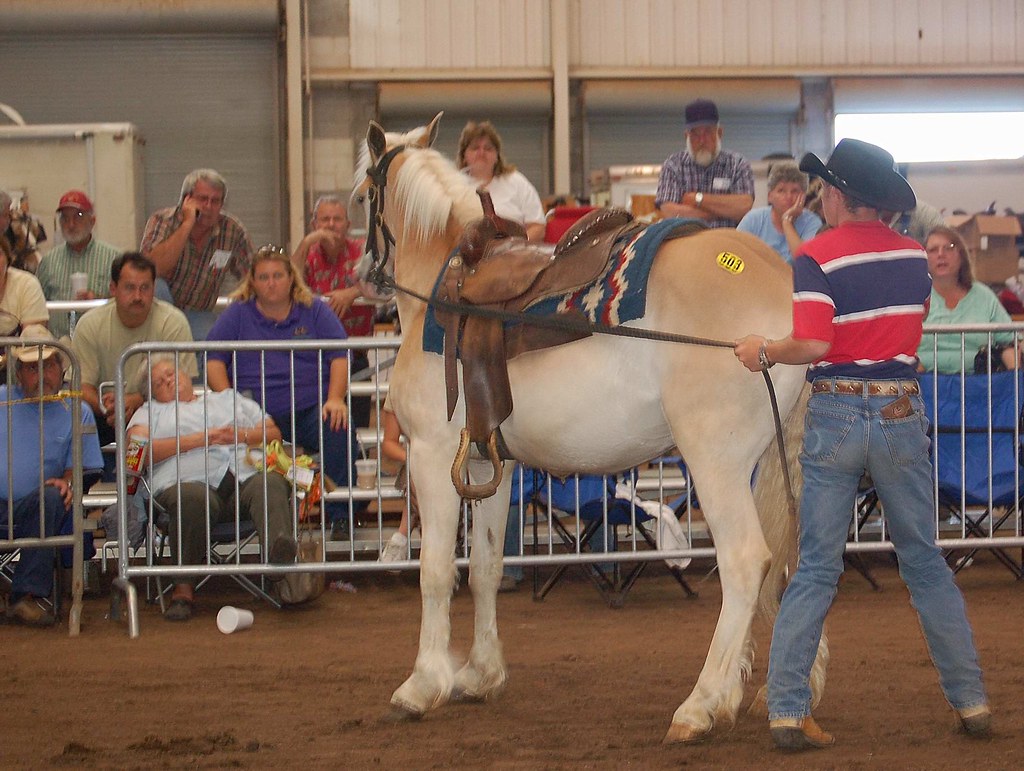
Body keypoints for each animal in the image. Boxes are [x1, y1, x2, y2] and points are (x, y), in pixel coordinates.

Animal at [355, 113, 826, 742]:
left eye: (365, 194)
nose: (366, 276)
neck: (443, 289)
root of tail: (781, 277)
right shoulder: (487, 462)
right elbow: (484, 568)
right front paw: (481, 674)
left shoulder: (432, 456)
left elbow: (433, 572)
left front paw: (422, 684)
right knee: (803, 556)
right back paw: (778, 695)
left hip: (716, 463)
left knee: (747, 561)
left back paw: (701, 704)